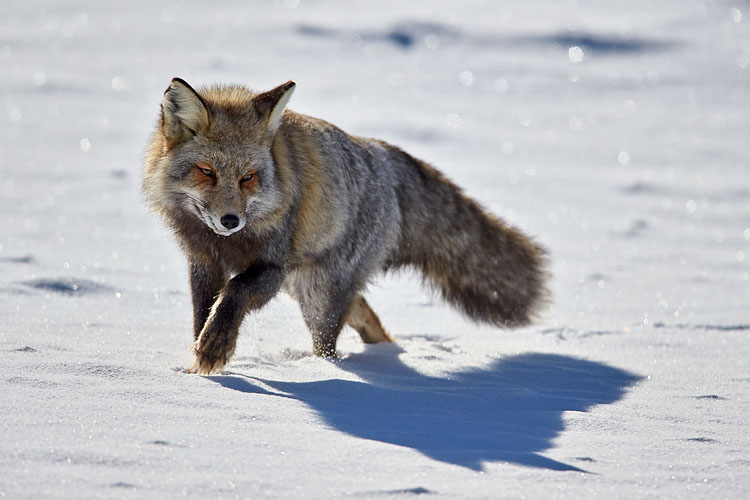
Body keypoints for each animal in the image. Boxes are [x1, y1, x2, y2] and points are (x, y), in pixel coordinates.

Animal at [143, 78, 548, 375]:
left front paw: (215, 346)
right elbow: (203, 313)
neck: (229, 242)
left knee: (329, 346)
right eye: (206, 172)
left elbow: (234, 294)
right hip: (310, 289)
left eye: (248, 178)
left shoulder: (271, 266)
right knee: (369, 319)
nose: (230, 220)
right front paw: (199, 363)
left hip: (317, 294)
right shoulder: (203, 262)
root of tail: (384, 155)